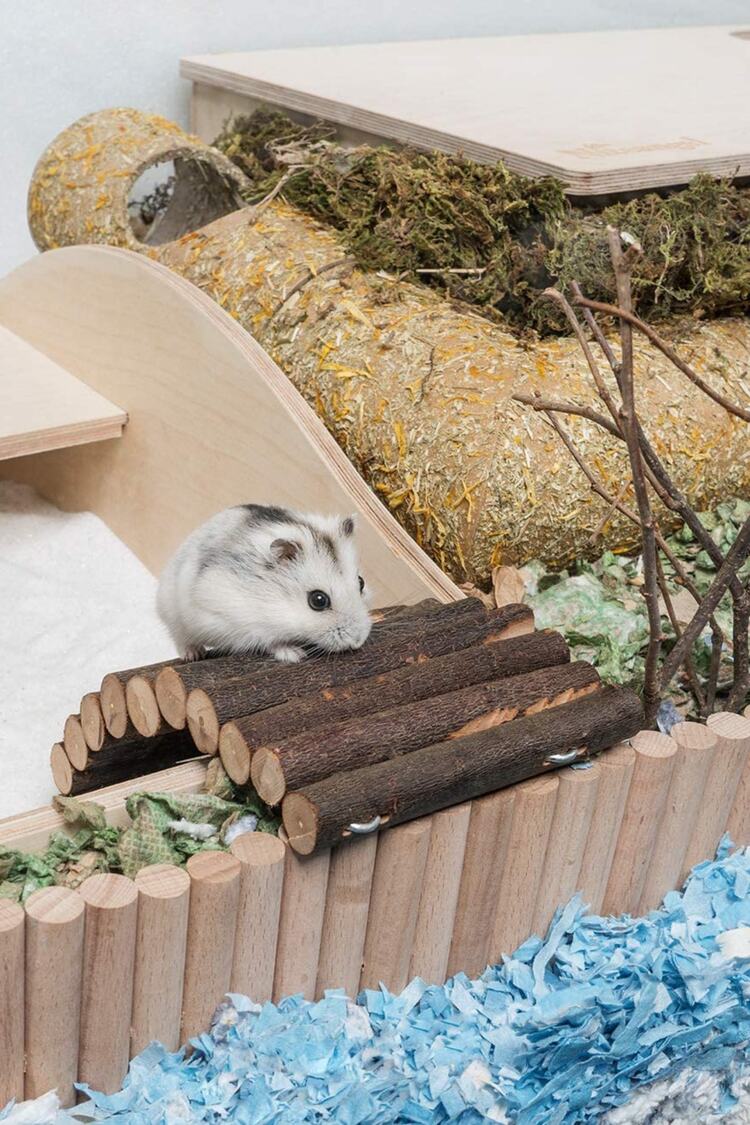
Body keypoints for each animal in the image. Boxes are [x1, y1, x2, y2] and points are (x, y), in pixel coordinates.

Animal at [157, 503, 372, 662]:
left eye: (361, 582)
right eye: (318, 600)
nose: (357, 641)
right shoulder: (235, 622)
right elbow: (269, 641)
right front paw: (294, 655)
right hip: (173, 615)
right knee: (180, 639)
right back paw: (193, 655)